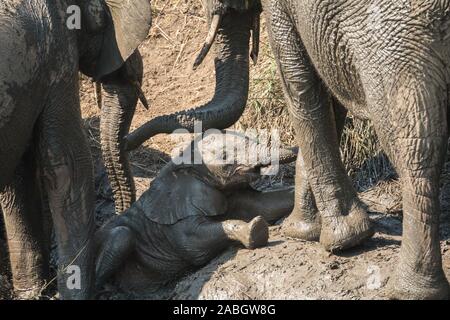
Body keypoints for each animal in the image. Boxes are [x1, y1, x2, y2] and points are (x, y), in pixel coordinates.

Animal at [95, 131, 296, 292]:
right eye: (225, 156)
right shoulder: (176, 216)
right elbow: (194, 245)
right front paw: (256, 229)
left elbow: (263, 204)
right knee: (121, 236)